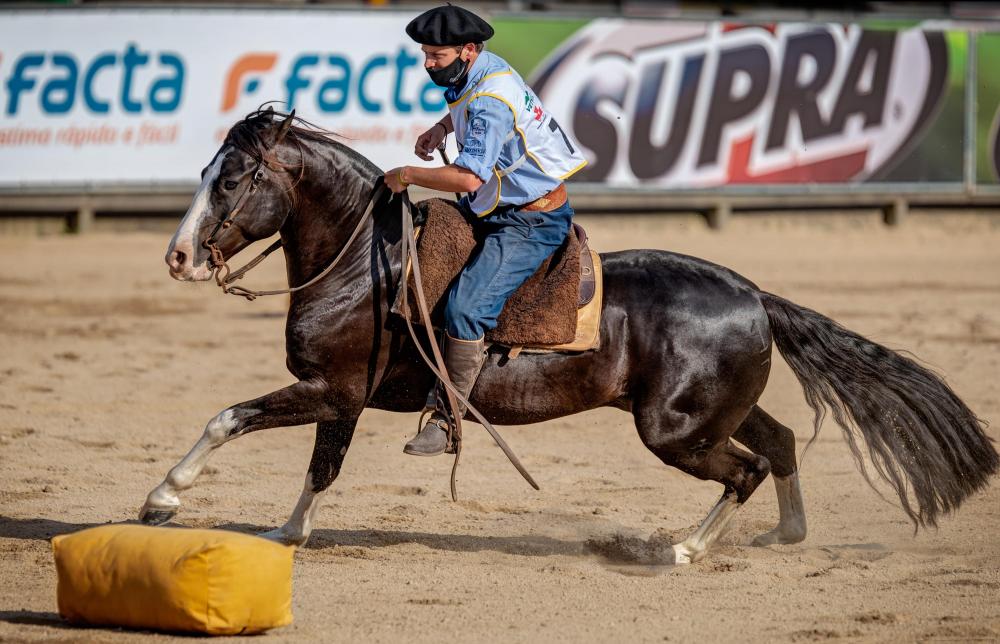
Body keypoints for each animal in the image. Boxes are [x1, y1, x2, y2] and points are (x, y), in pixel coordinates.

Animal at [143, 109, 1000, 564]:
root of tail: (754, 293)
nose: (177, 256)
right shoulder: (343, 398)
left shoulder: (331, 388)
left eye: (231, 178)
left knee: (747, 468)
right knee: (781, 443)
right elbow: (321, 468)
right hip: (706, 411)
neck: (368, 263)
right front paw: (286, 533)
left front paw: (164, 499)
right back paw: (783, 535)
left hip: (674, 431)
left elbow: (228, 418)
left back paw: (683, 550)